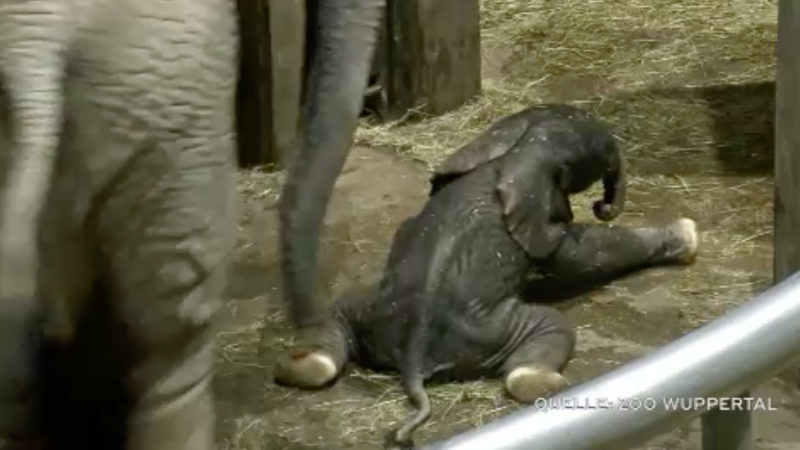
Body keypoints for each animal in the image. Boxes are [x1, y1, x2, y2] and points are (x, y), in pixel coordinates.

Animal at [276, 104, 700, 446]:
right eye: (601, 152)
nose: (603, 205)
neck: (514, 147)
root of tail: (412, 357)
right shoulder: (539, 222)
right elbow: (578, 254)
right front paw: (686, 235)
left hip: (373, 310)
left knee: (338, 313)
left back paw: (299, 366)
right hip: (487, 329)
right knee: (550, 326)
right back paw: (550, 385)